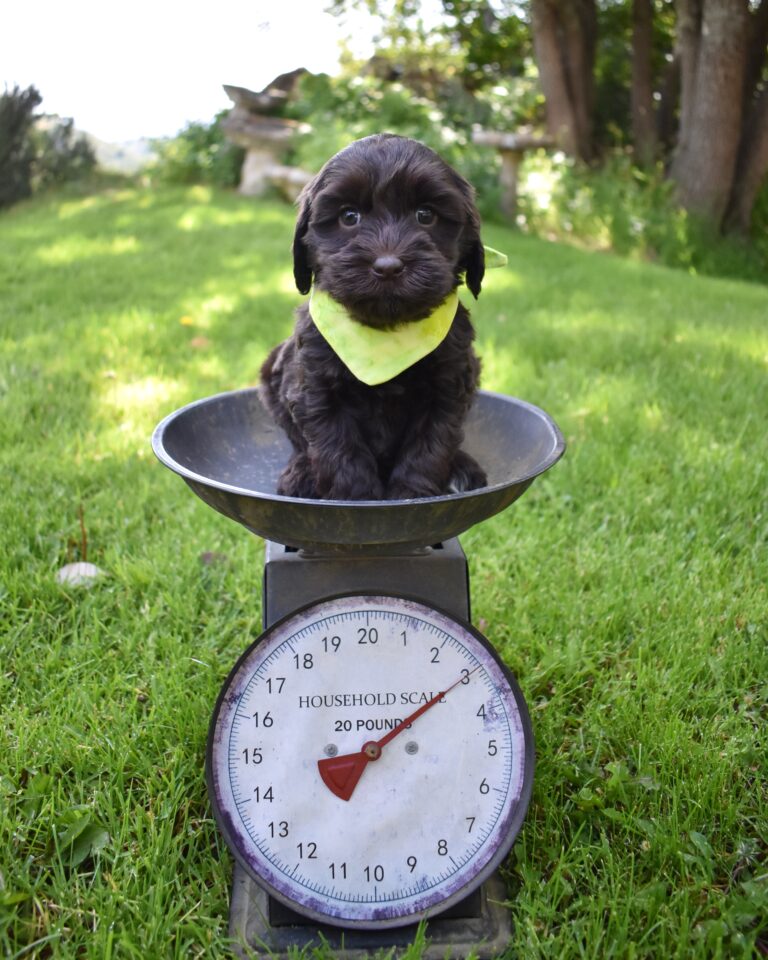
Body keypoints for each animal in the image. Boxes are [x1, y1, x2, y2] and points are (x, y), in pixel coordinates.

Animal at [258, 134, 486, 502]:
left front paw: (410, 495)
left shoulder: (448, 387)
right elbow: (338, 449)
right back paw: (301, 472)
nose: (388, 266)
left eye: (425, 215)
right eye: (349, 216)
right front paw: (356, 499)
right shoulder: (316, 390)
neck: (384, 333)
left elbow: (429, 448)